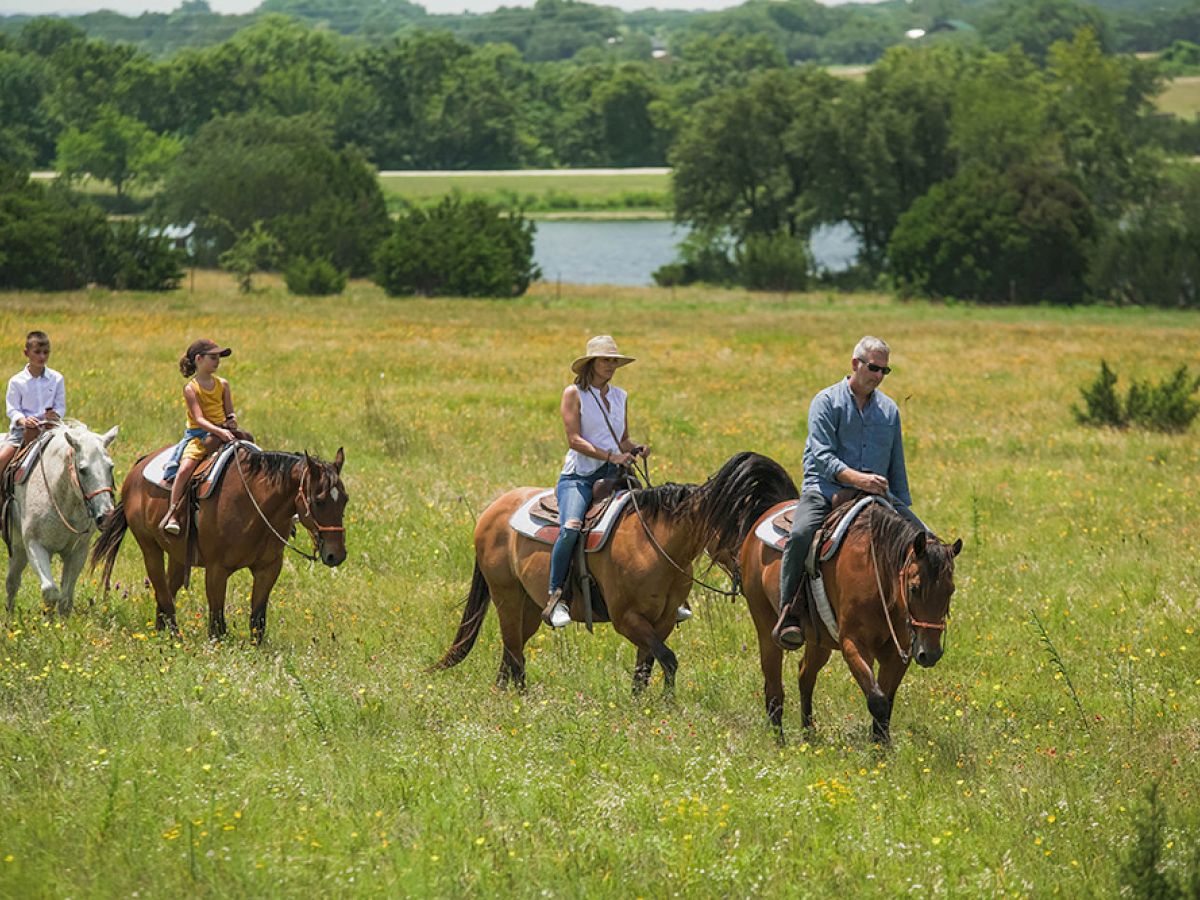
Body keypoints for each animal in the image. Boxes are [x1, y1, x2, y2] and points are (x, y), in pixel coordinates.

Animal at [4, 420, 117, 619]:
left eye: (110, 467)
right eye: (82, 470)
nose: (106, 516)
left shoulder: (77, 552)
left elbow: (65, 598)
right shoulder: (35, 546)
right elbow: (50, 591)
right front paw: (48, 621)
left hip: (18, 548)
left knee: (12, 581)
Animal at [91, 441, 348, 643]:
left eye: (345, 499)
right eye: (319, 500)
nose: (336, 554)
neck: (254, 505)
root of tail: (139, 466)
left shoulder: (268, 568)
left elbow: (257, 620)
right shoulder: (216, 570)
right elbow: (217, 622)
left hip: (177, 555)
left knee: (168, 588)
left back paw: (161, 630)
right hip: (149, 547)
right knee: (160, 586)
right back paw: (175, 636)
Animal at [434, 453, 796, 696]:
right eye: (740, 520)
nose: (754, 563)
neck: (655, 542)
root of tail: (492, 511)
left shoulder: (662, 620)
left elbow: (648, 664)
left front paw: (642, 706)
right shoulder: (627, 619)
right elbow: (667, 659)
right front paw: (667, 704)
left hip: (530, 607)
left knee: (511, 652)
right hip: (506, 595)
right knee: (513, 650)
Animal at [739, 460, 964, 744]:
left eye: (950, 590)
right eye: (913, 588)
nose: (930, 653)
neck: (878, 575)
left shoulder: (898, 652)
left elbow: (887, 702)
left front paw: (882, 747)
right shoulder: (852, 644)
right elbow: (878, 700)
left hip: (819, 640)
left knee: (805, 675)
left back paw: (809, 737)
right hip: (766, 628)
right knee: (774, 690)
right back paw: (780, 743)